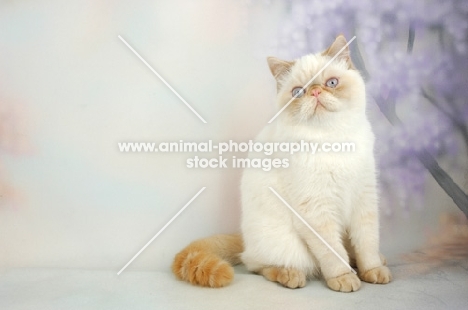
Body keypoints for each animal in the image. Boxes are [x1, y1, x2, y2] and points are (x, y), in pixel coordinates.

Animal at [172, 35, 392, 292]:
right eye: (298, 92)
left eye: (332, 82)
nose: (315, 92)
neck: (333, 139)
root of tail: (244, 238)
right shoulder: (316, 210)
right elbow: (333, 253)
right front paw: (343, 278)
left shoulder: (364, 200)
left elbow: (367, 244)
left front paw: (372, 271)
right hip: (286, 245)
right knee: (257, 264)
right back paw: (290, 275)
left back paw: (378, 261)